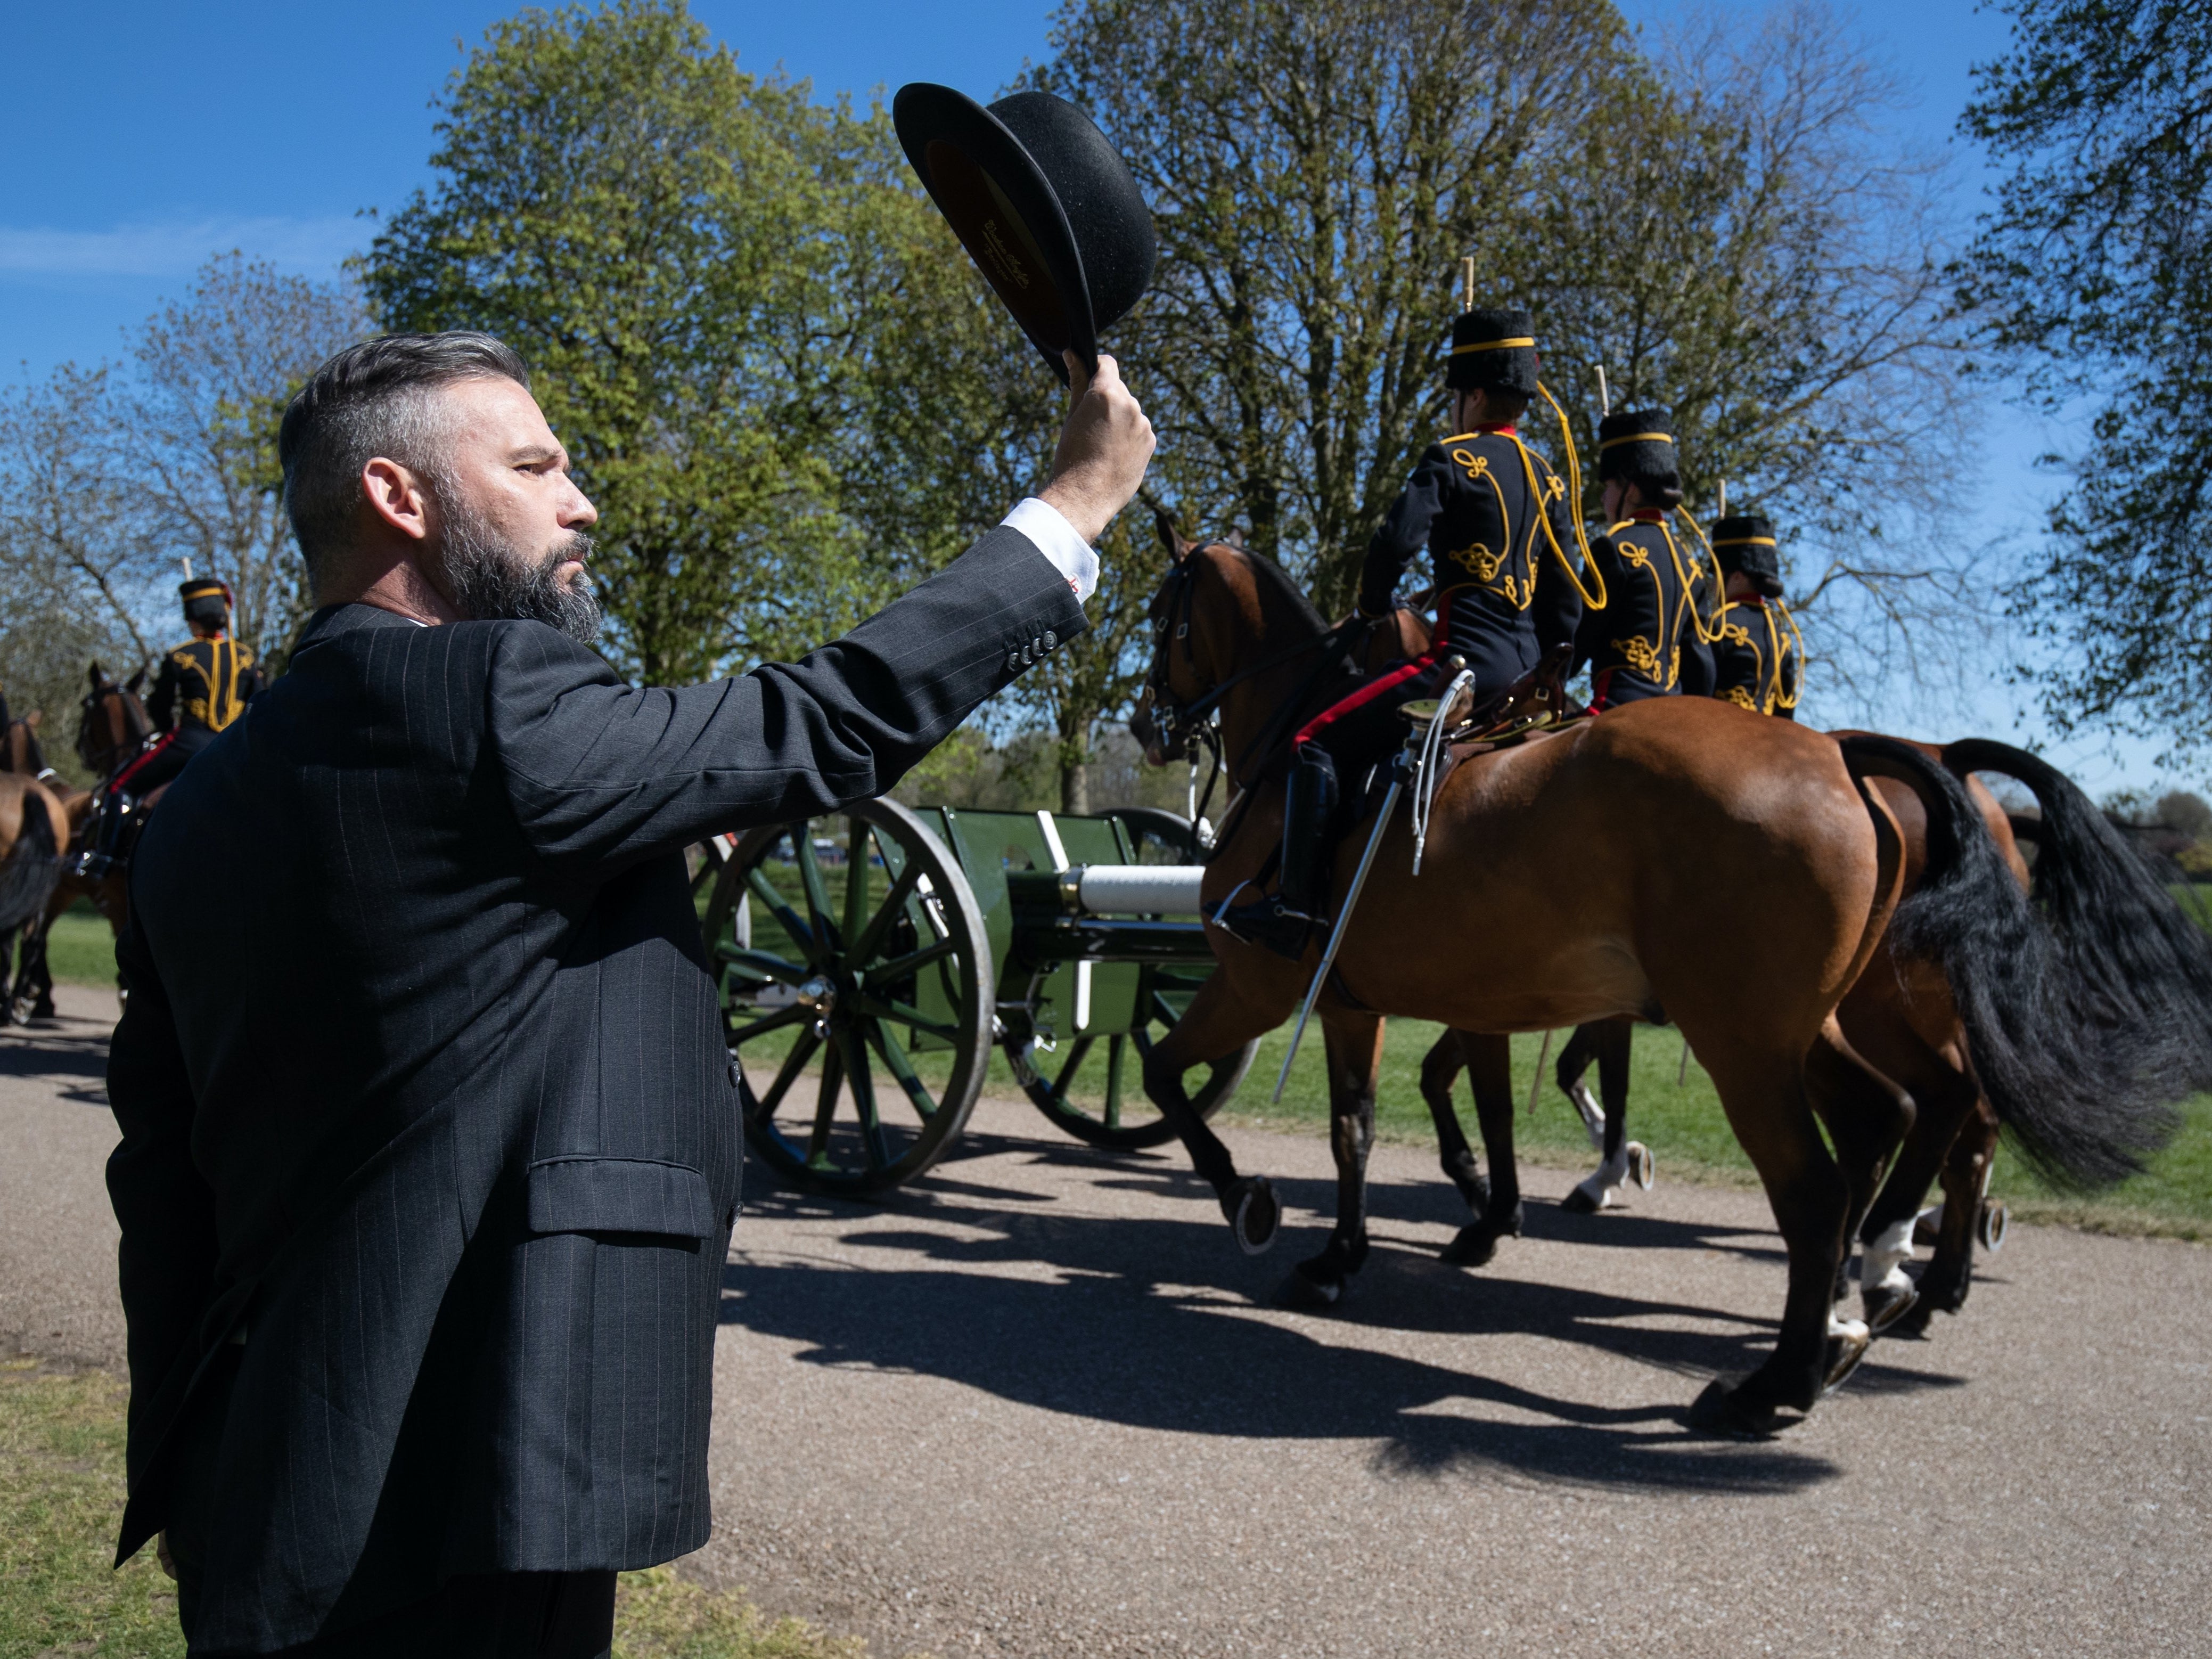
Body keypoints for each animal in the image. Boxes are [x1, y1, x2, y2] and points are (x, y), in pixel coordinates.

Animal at [1141, 535, 2194, 1442]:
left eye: (1162, 613)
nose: (1151, 721)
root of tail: (1848, 758)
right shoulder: (1391, 1002)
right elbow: (1393, 1115)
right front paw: (1411, 1233)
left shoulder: (1264, 986)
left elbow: (1188, 1080)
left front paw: (1255, 1203)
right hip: (1808, 1031)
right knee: (1896, 1119)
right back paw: (1870, 1301)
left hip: (1756, 1041)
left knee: (1838, 1174)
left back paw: (1786, 1374)